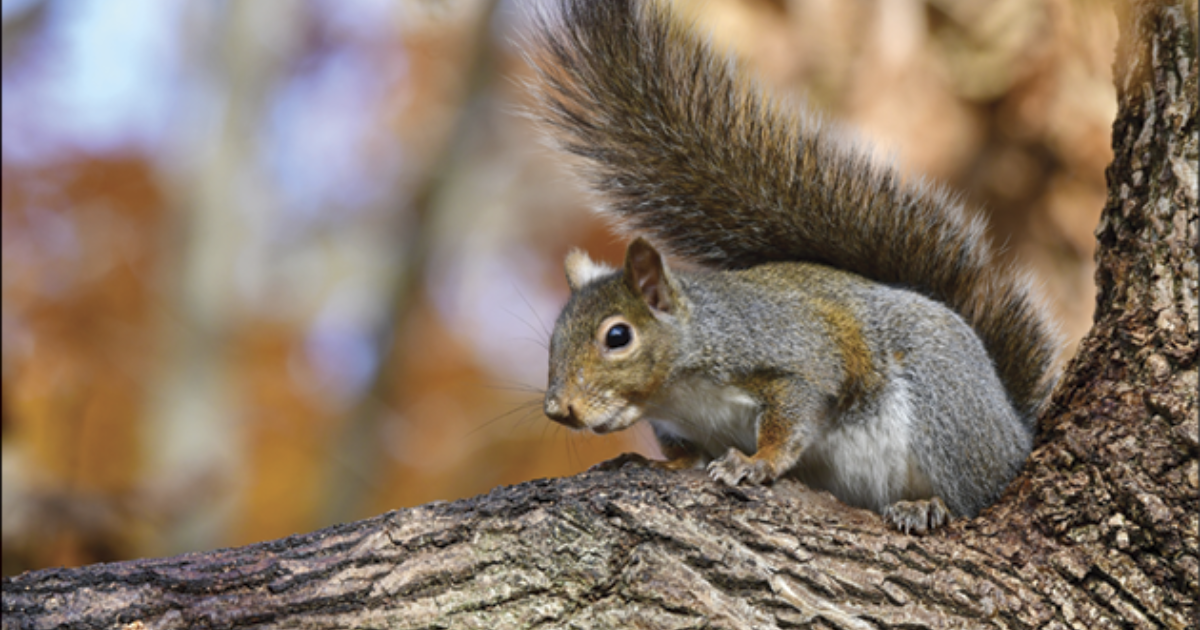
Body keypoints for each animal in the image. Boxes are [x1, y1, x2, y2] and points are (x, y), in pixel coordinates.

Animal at [527, 0, 1061, 534]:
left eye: (617, 336)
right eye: (555, 336)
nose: (557, 409)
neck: (678, 391)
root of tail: (1012, 427)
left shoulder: (795, 357)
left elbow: (792, 417)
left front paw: (755, 462)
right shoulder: (674, 423)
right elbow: (685, 455)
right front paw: (665, 464)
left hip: (946, 408)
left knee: (974, 494)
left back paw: (929, 505)